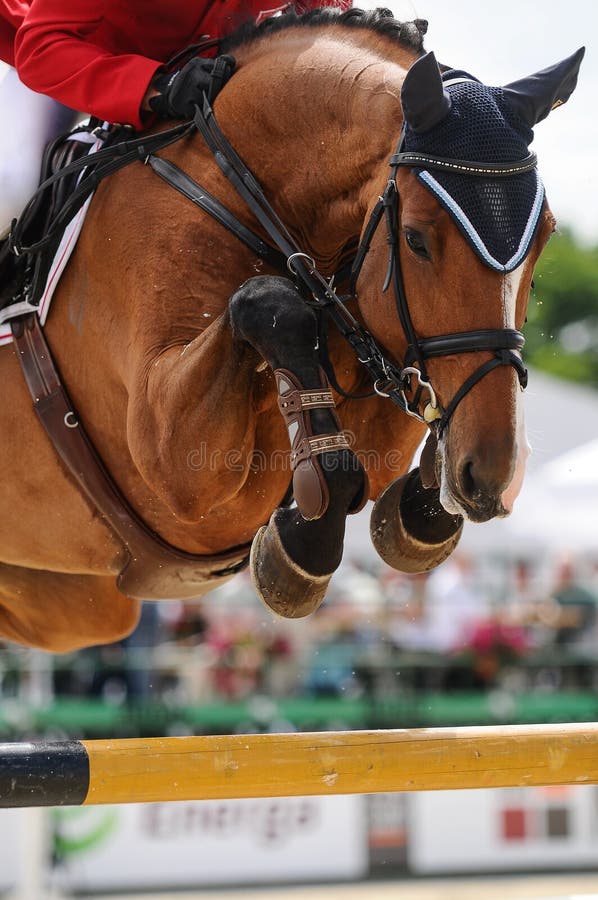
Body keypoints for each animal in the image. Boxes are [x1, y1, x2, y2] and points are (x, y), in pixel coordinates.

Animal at [0, 10, 584, 652]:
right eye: (416, 240)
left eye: (545, 238)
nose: (493, 474)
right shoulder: (167, 452)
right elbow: (268, 302)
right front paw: (304, 544)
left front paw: (422, 506)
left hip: (72, 609)